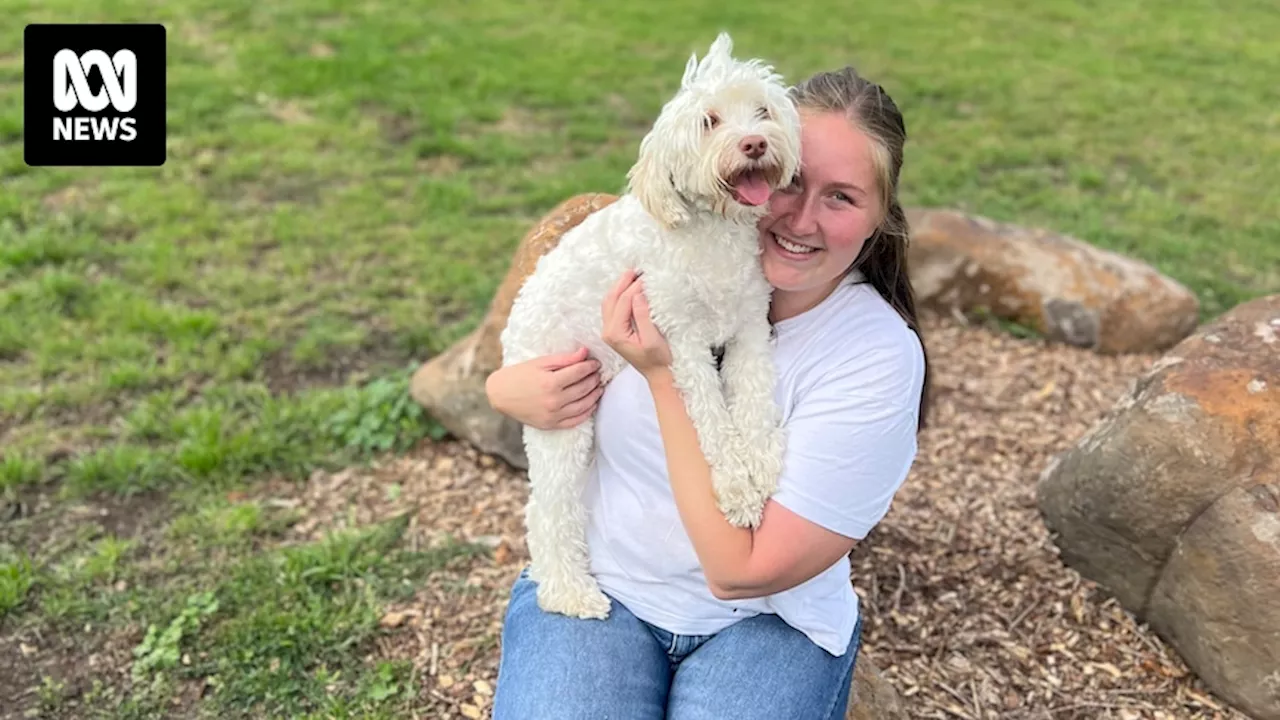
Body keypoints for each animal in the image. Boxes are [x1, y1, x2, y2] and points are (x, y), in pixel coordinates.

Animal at [499, 33, 798, 617]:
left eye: (762, 112)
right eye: (709, 121)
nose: (754, 143)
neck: (713, 232)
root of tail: (512, 327)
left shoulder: (750, 327)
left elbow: (753, 400)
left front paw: (762, 459)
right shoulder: (681, 342)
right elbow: (713, 424)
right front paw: (737, 488)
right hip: (562, 417)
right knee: (548, 512)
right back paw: (571, 594)